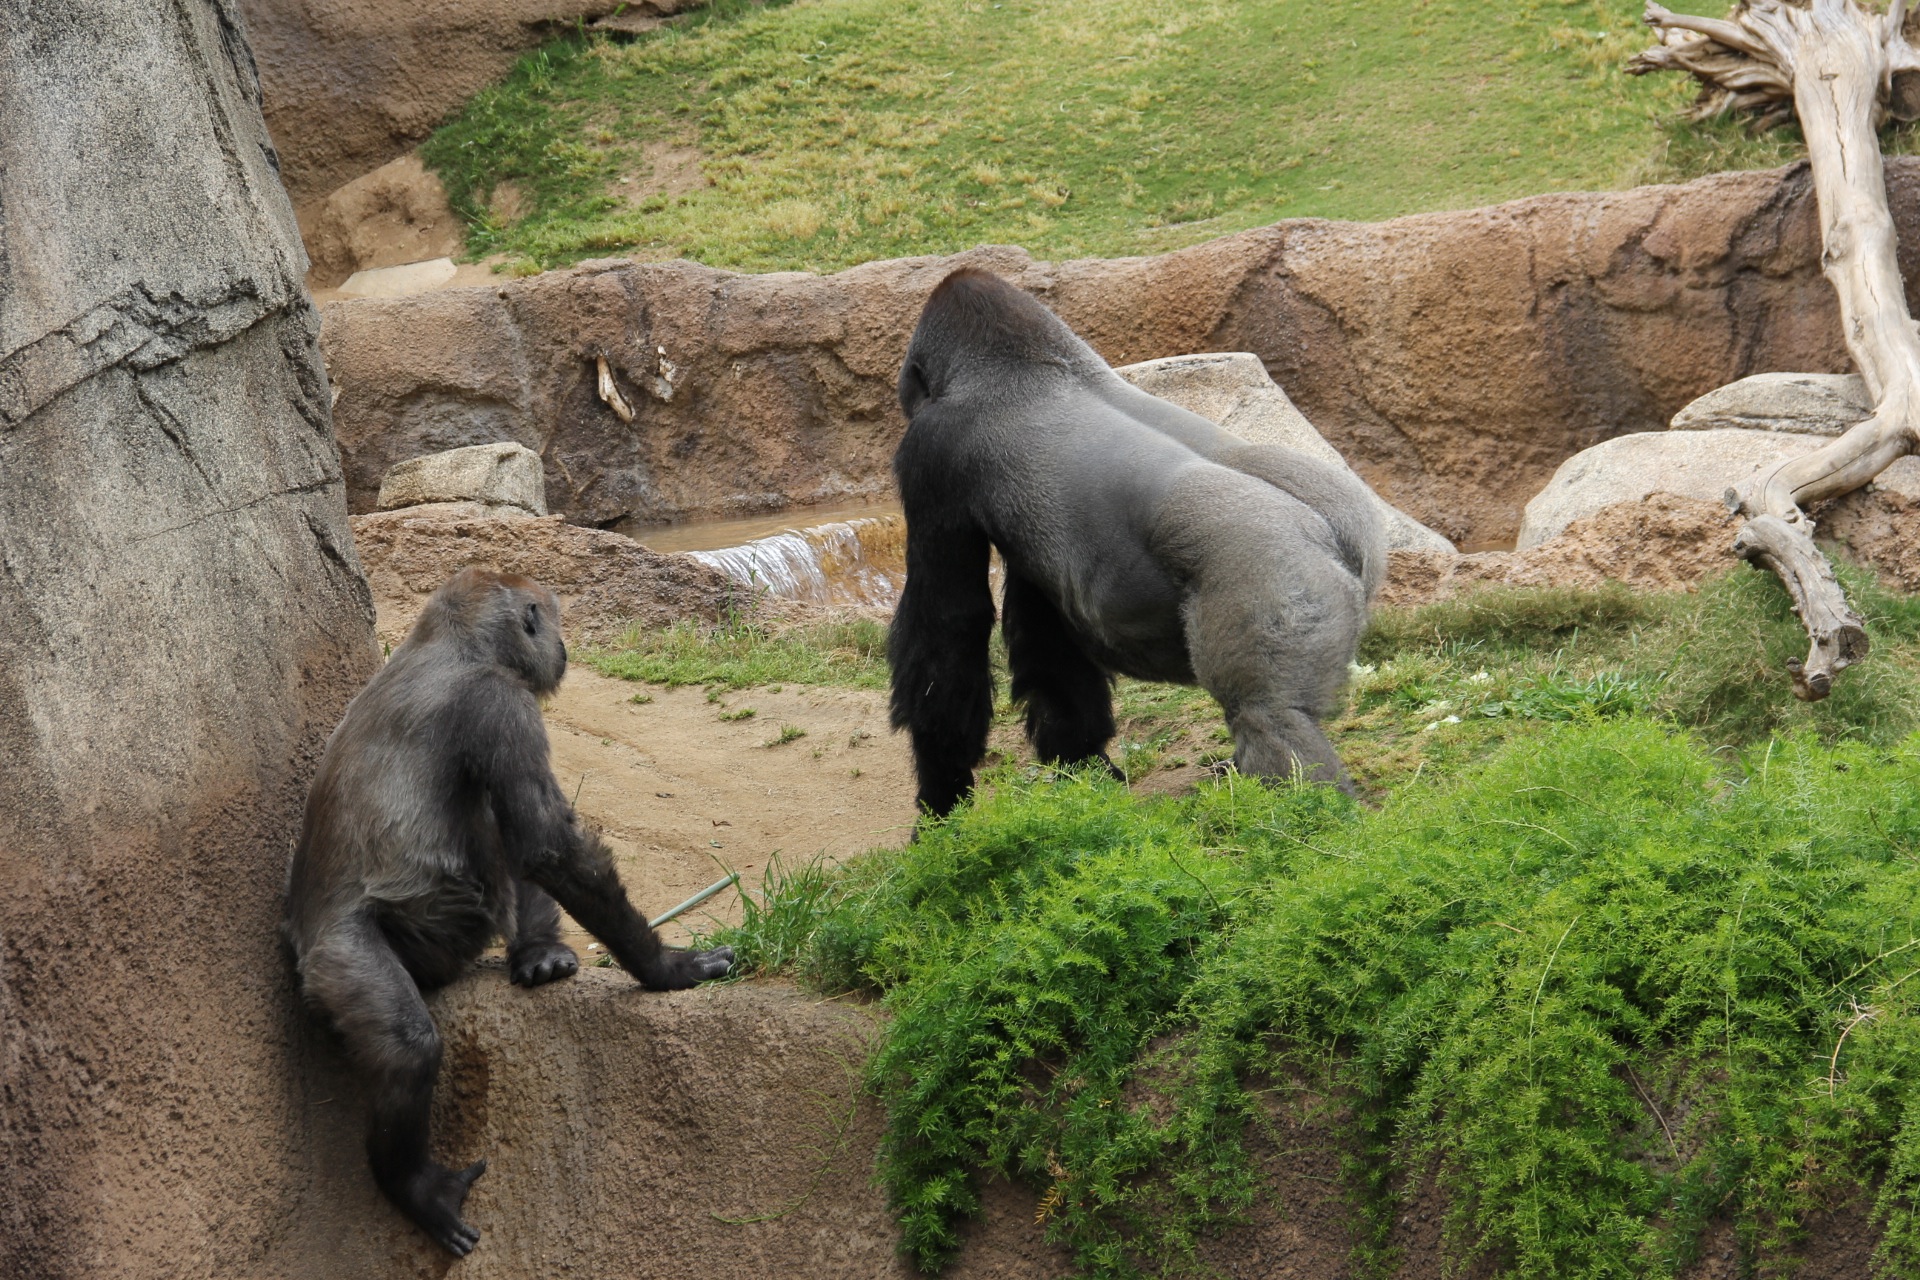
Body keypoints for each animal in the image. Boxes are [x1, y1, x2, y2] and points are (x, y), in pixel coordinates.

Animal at [284, 568, 733, 1251]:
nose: (565, 648)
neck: (452, 643)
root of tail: (295, 935)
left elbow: (536, 844)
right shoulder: (502, 703)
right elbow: (546, 843)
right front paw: (667, 968)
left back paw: (539, 955)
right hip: (346, 958)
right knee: (406, 1045)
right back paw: (412, 1186)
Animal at [883, 268, 1382, 821]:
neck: (1022, 360)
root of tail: (1329, 530)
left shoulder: (931, 450)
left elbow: (950, 627)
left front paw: (941, 800)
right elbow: (1046, 641)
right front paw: (1083, 771)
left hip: (1272, 572)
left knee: (1270, 716)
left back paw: (1298, 814)